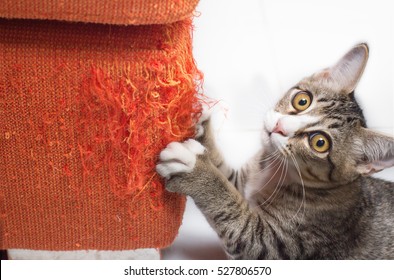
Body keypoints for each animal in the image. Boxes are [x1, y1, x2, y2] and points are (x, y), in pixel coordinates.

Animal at [156, 42, 394, 260]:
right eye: (302, 100)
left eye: (320, 143)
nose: (280, 127)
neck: (274, 168)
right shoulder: (243, 181)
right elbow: (227, 177)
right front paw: (200, 123)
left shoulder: (270, 245)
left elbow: (234, 215)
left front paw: (195, 169)